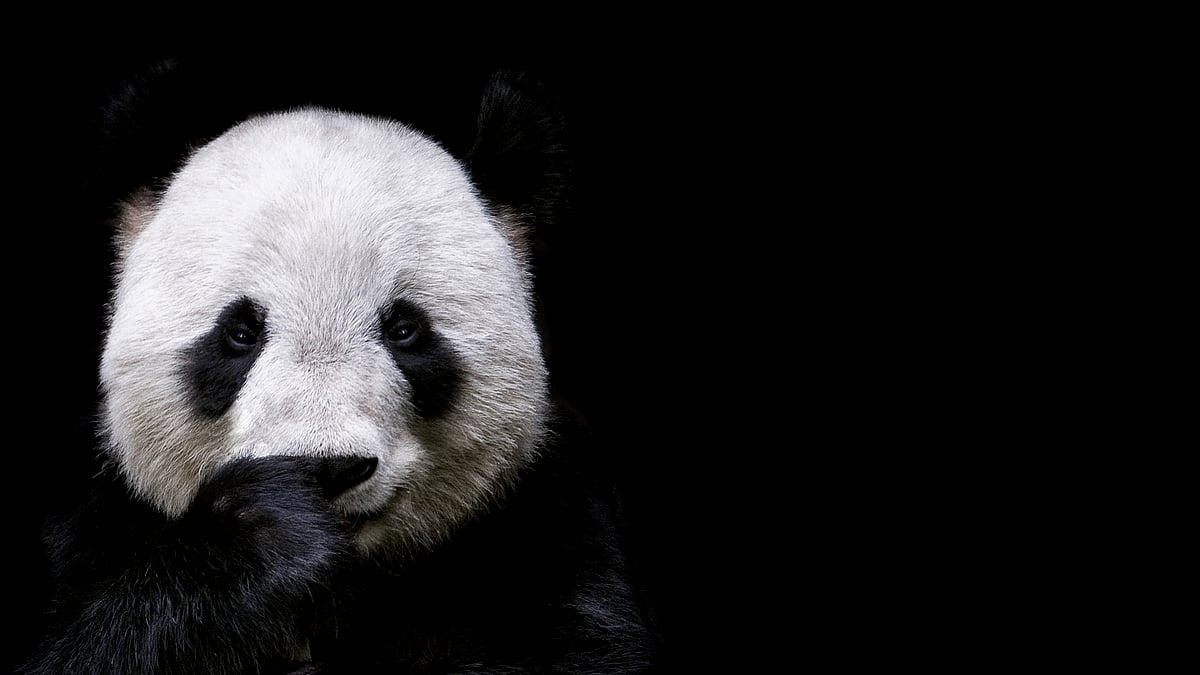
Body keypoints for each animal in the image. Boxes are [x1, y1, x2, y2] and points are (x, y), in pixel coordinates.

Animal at [18, 68, 660, 674]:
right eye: (240, 333)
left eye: (404, 329)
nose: (328, 468)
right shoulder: (88, 518)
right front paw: (264, 537)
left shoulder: (551, 517)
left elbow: (580, 648)